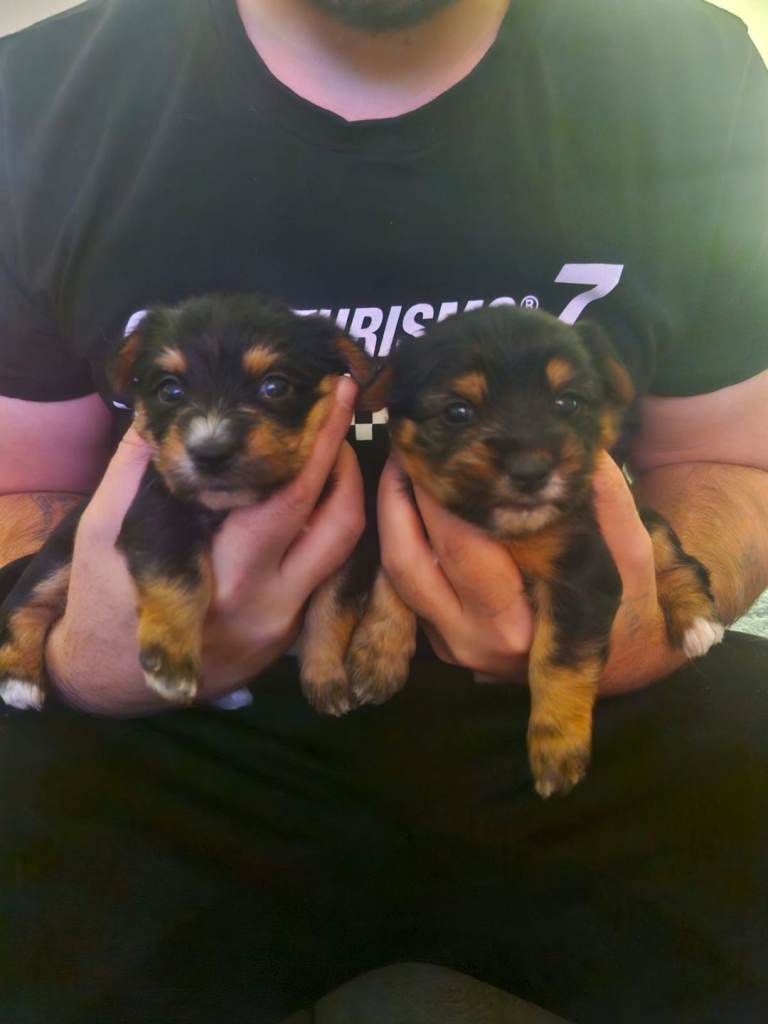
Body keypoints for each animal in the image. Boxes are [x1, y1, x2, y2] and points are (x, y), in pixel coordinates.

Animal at [0, 292, 378, 710]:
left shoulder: (349, 540)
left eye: (275, 387)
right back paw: (18, 679)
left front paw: (327, 679)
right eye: (170, 391)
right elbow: (179, 576)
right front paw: (170, 660)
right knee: (25, 601)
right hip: (60, 554)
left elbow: (333, 608)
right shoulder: (159, 512)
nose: (210, 453)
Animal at [340, 306, 725, 797]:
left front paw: (557, 747)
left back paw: (697, 622)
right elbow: (392, 582)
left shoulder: (581, 573)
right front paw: (377, 656)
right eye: (457, 411)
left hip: (648, 524)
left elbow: (559, 657)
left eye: (568, 403)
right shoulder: (408, 527)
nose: (530, 471)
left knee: (679, 562)